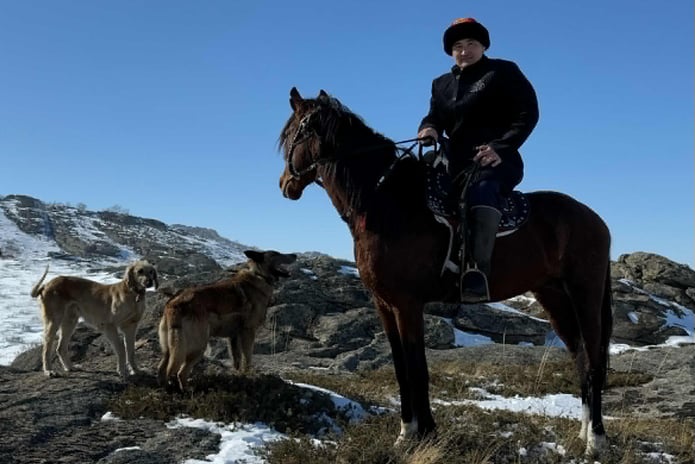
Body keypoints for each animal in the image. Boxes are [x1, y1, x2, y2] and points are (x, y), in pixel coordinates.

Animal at [30, 260, 158, 380]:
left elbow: (131, 351)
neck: (132, 293)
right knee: (46, 347)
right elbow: (121, 349)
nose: (150, 282)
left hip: (70, 321)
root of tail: (46, 285)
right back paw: (49, 371)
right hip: (54, 320)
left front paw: (136, 370)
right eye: (140, 271)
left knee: (60, 348)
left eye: (151, 271)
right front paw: (122, 371)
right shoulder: (109, 326)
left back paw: (70, 367)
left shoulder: (130, 326)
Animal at [158, 250, 296, 392]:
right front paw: (249, 375)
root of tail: (174, 303)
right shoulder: (248, 332)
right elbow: (247, 358)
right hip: (197, 346)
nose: (295, 255)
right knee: (180, 372)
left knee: (162, 370)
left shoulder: (233, 337)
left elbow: (237, 360)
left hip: (169, 349)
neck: (259, 275)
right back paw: (186, 391)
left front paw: (238, 376)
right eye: (275, 254)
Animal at [278, 88, 616, 456]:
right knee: (580, 357)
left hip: (584, 295)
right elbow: (401, 368)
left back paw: (596, 440)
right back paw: (583, 433)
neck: (386, 203)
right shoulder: (384, 305)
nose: (285, 184)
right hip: (553, 296)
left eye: (292, 134)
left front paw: (424, 432)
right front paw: (406, 432)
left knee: (594, 361)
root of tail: (596, 220)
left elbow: (418, 369)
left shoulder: (408, 304)